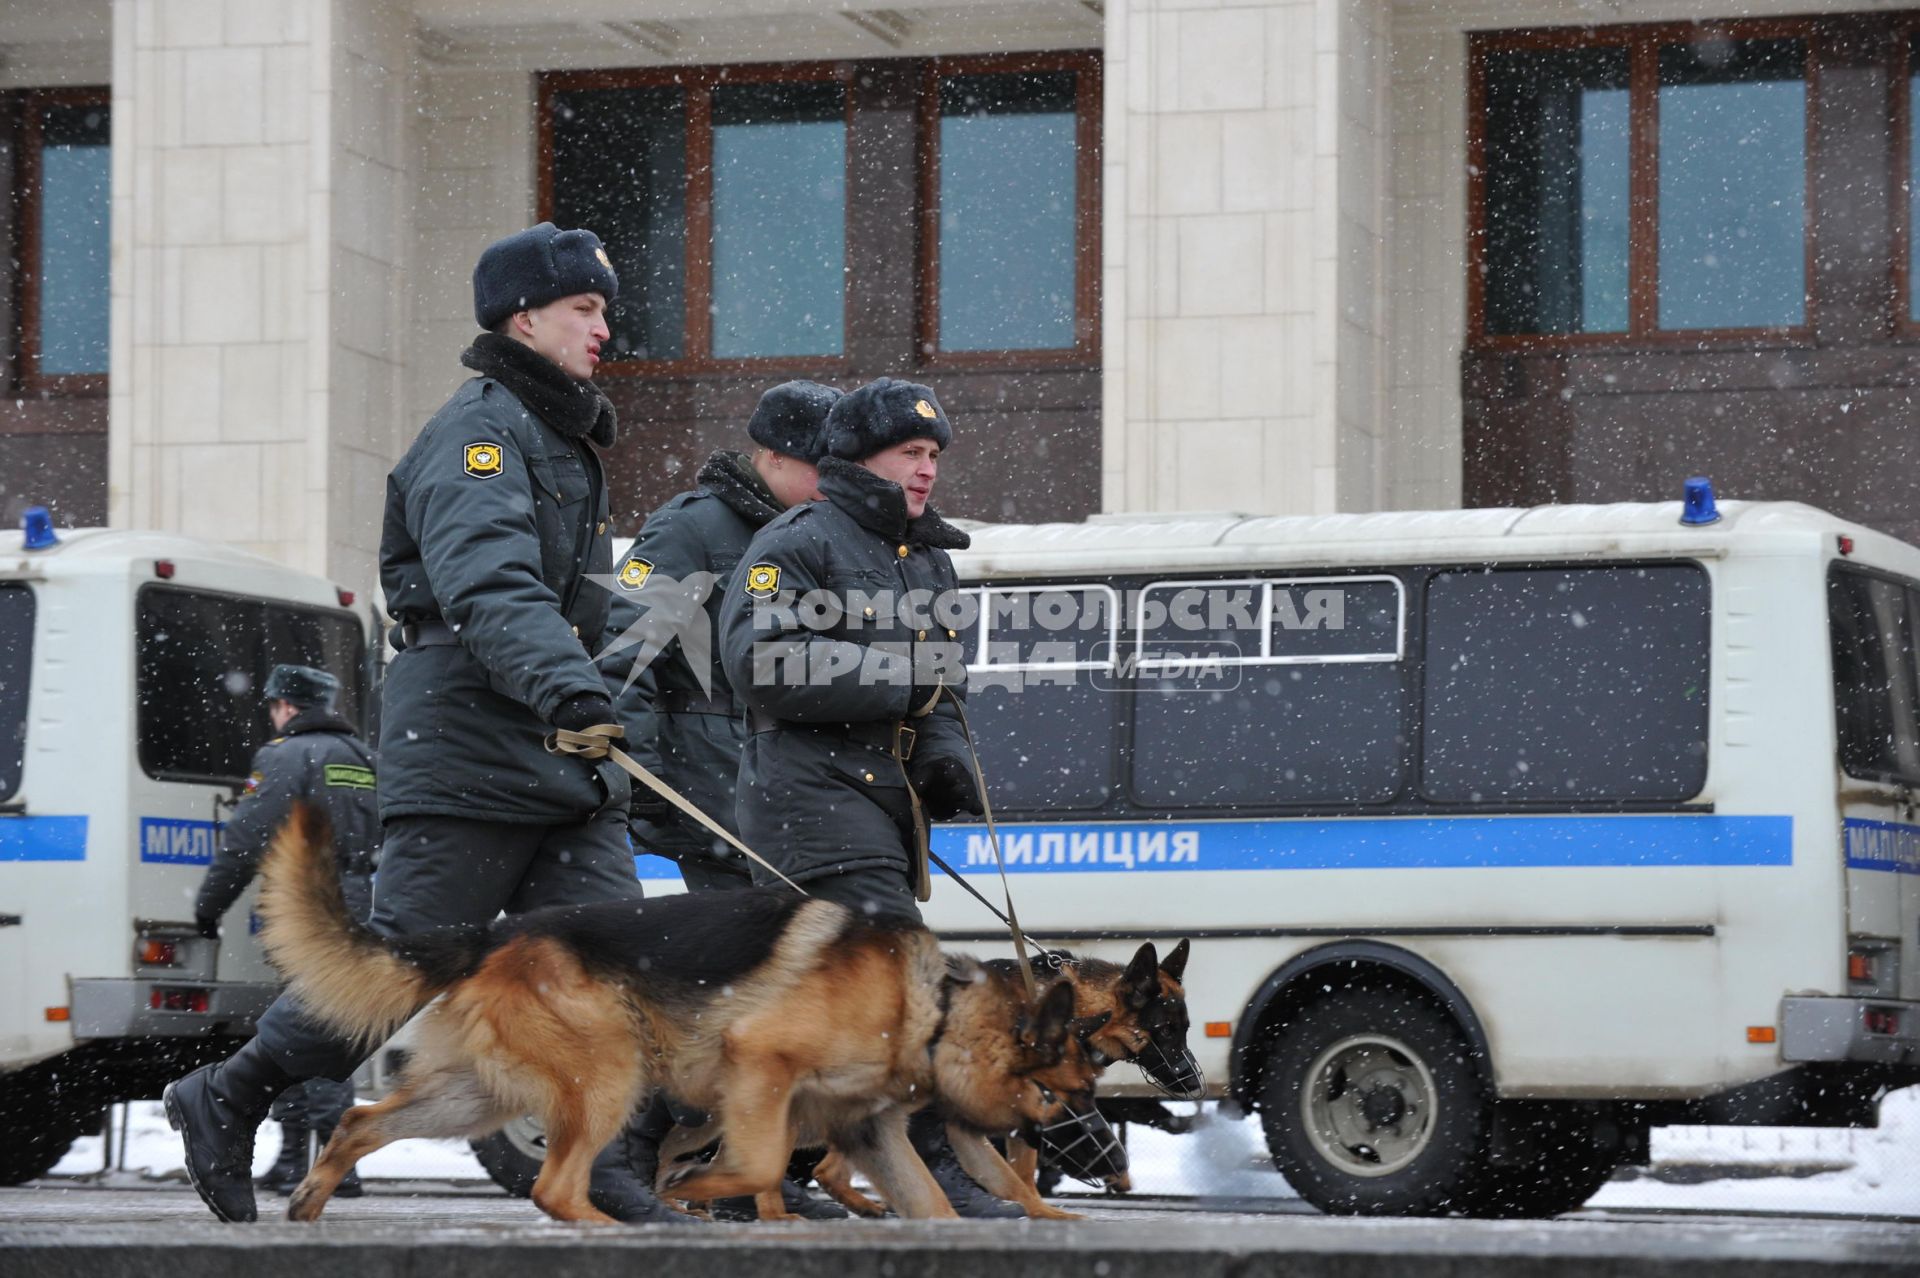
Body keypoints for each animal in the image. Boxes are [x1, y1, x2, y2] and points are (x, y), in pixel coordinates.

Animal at [259, 805, 1121, 1228]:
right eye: (1064, 1094)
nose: (1106, 1160)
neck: (932, 1003)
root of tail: (496, 933)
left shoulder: (867, 1130)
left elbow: (931, 1201)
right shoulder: (761, 1069)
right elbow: (764, 1167)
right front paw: (699, 1191)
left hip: (477, 1096)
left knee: (360, 1121)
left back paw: (307, 1201)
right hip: (610, 1076)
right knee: (555, 1187)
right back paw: (626, 1226)